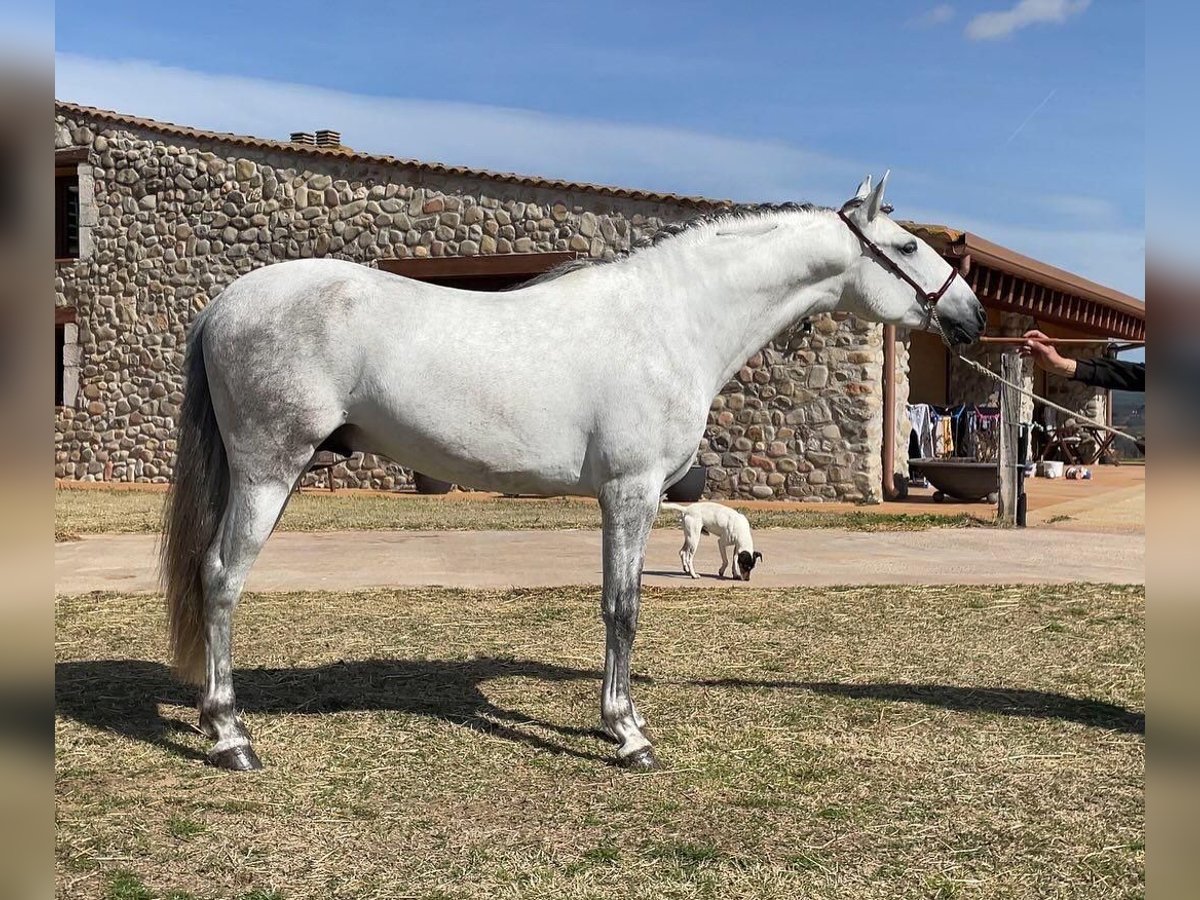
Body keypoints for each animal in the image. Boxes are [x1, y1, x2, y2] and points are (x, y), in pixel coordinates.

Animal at [159, 172, 984, 772]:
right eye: (907, 247)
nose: (971, 317)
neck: (669, 319)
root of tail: (225, 304)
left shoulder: (621, 498)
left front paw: (622, 718)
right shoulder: (632, 491)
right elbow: (624, 609)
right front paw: (629, 736)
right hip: (269, 471)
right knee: (221, 579)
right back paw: (231, 737)